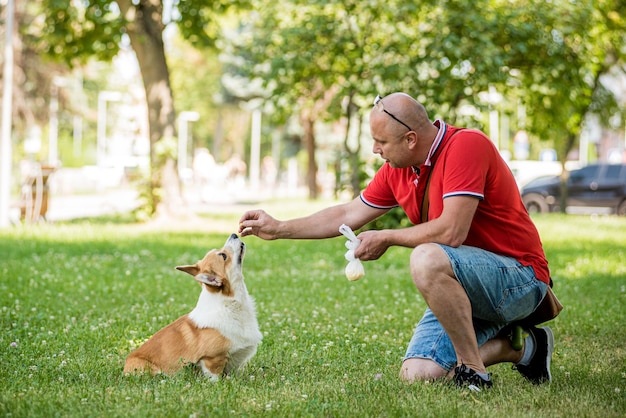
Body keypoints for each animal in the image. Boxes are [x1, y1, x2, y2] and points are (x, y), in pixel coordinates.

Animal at [123, 233, 260, 380]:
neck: (230, 304)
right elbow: (214, 377)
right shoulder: (212, 359)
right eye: (223, 256)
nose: (234, 234)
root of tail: (125, 366)